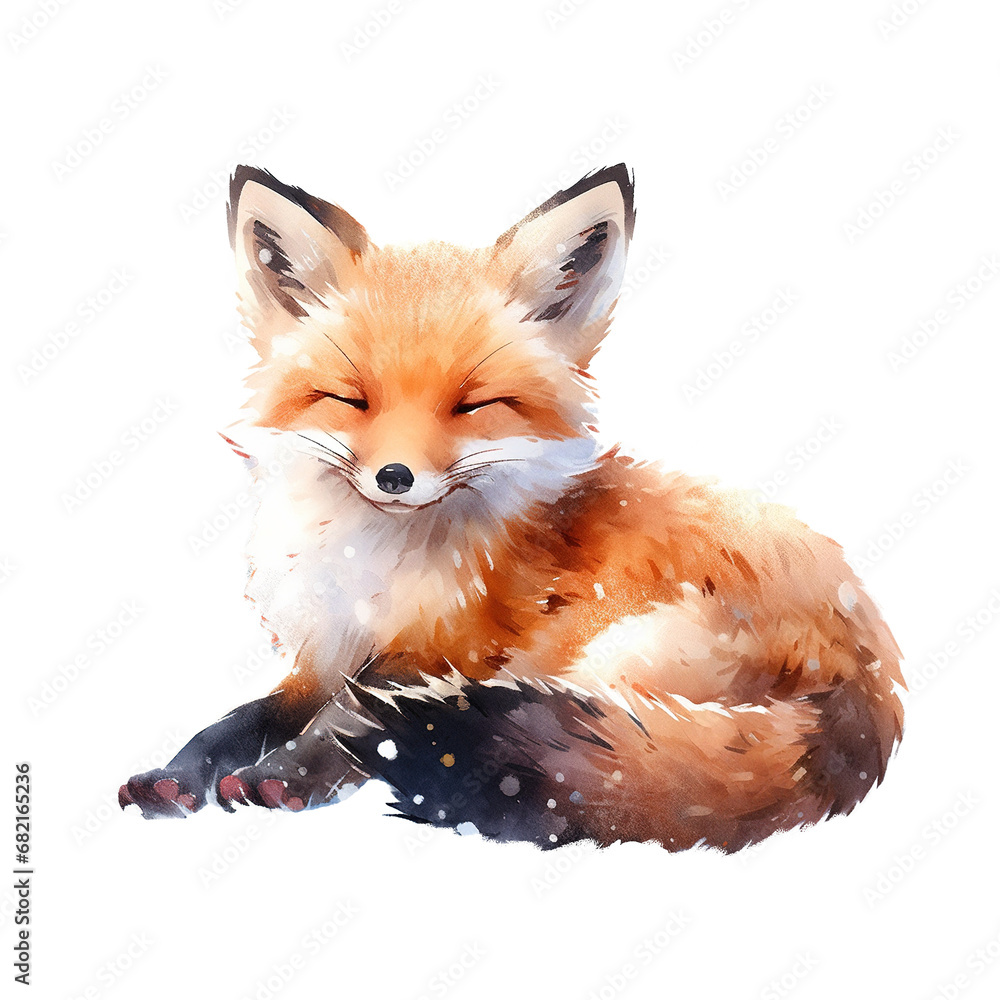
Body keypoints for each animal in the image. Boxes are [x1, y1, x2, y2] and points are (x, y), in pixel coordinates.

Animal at [119, 163, 904, 851]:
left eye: (472, 404)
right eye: (352, 398)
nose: (395, 477)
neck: (376, 565)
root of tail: (872, 692)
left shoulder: (447, 648)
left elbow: (344, 716)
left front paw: (287, 774)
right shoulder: (326, 652)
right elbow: (243, 719)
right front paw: (179, 774)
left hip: (591, 656)